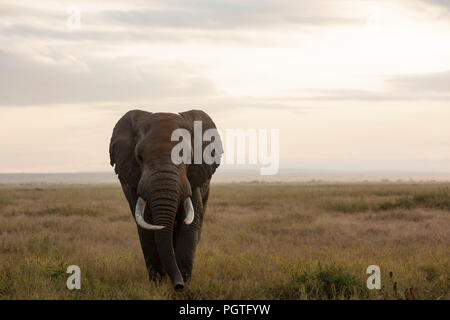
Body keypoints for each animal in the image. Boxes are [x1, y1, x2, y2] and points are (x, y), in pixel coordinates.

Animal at [109, 109, 221, 290]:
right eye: (139, 157)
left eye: (189, 157)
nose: (178, 285)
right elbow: (147, 228)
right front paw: (158, 286)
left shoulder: (194, 178)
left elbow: (190, 223)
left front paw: (183, 287)